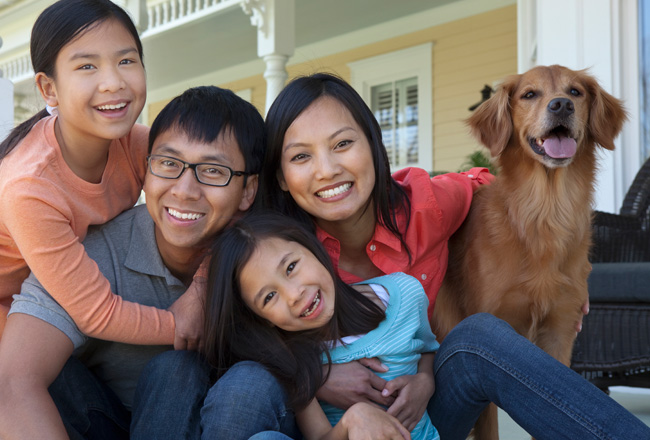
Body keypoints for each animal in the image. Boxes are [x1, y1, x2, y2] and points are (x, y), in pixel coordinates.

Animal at [432, 66, 624, 440]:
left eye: (576, 91)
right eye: (529, 94)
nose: (561, 105)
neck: (544, 213)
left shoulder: (558, 335)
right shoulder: (489, 325)